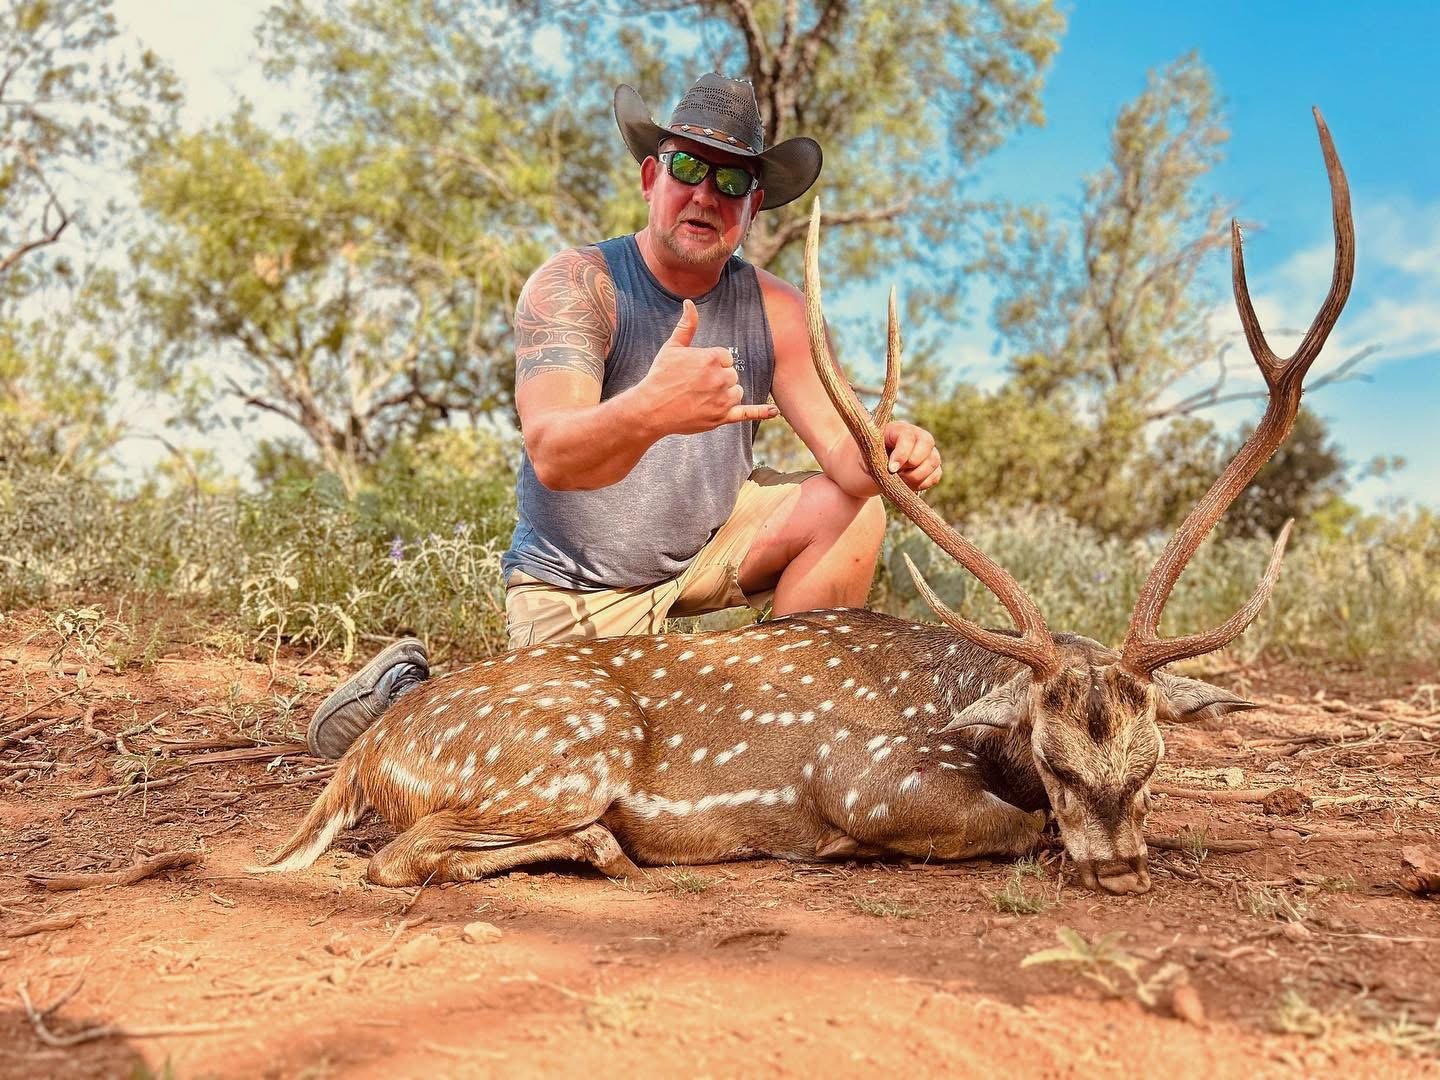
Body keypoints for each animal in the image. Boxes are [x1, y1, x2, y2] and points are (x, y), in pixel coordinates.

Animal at [252, 110, 1353, 896]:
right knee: (397, 856)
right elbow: (1015, 825)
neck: (966, 718)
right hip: (562, 752)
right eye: (1055, 754)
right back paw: (602, 846)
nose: (1120, 868)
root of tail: (372, 755)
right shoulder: (877, 781)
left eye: (1154, 756)